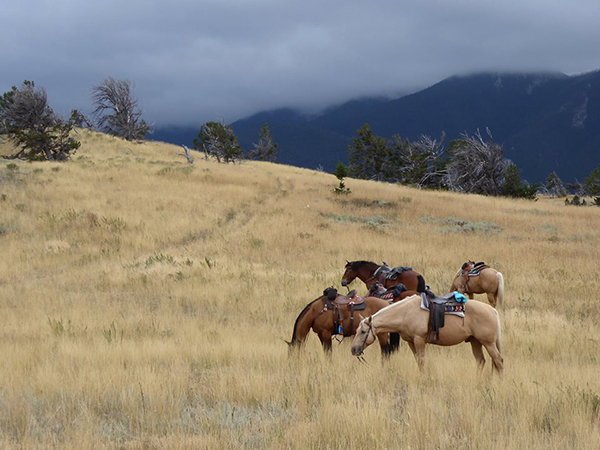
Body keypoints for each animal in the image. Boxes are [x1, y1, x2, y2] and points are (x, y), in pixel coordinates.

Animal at [350, 294, 504, 374]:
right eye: (356, 331)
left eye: (363, 331)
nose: (354, 350)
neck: (405, 312)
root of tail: (492, 310)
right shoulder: (411, 342)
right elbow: (417, 360)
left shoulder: (419, 340)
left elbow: (421, 361)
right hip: (475, 341)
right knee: (481, 361)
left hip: (488, 343)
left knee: (498, 360)